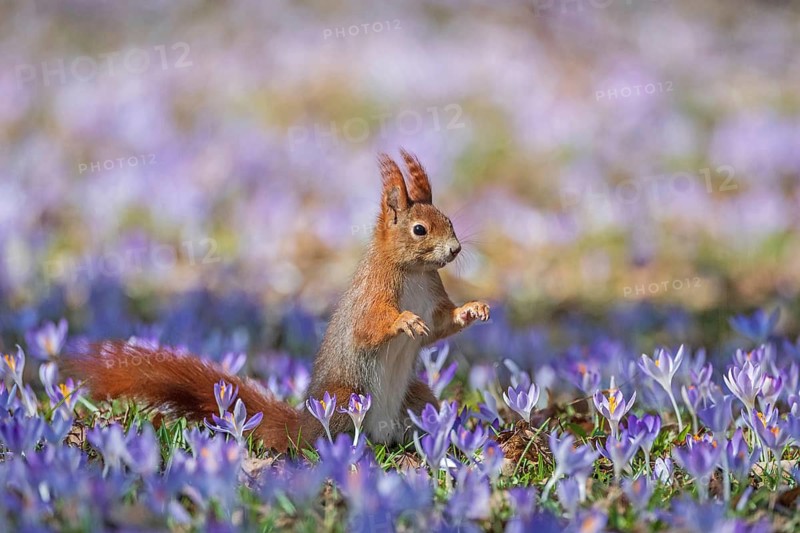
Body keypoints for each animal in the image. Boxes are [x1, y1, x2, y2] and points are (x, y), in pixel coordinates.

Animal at [67, 150, 490, 450]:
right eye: (419, 230)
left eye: (449, 221)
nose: (455, 249)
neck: (414, 271)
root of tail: (302, 425)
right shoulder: (373, 294)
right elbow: (370, 326)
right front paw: (404, 320)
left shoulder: (432, 295)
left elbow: (439, 325)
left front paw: (473, 309)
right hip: (345, 398)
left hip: (417, 397)